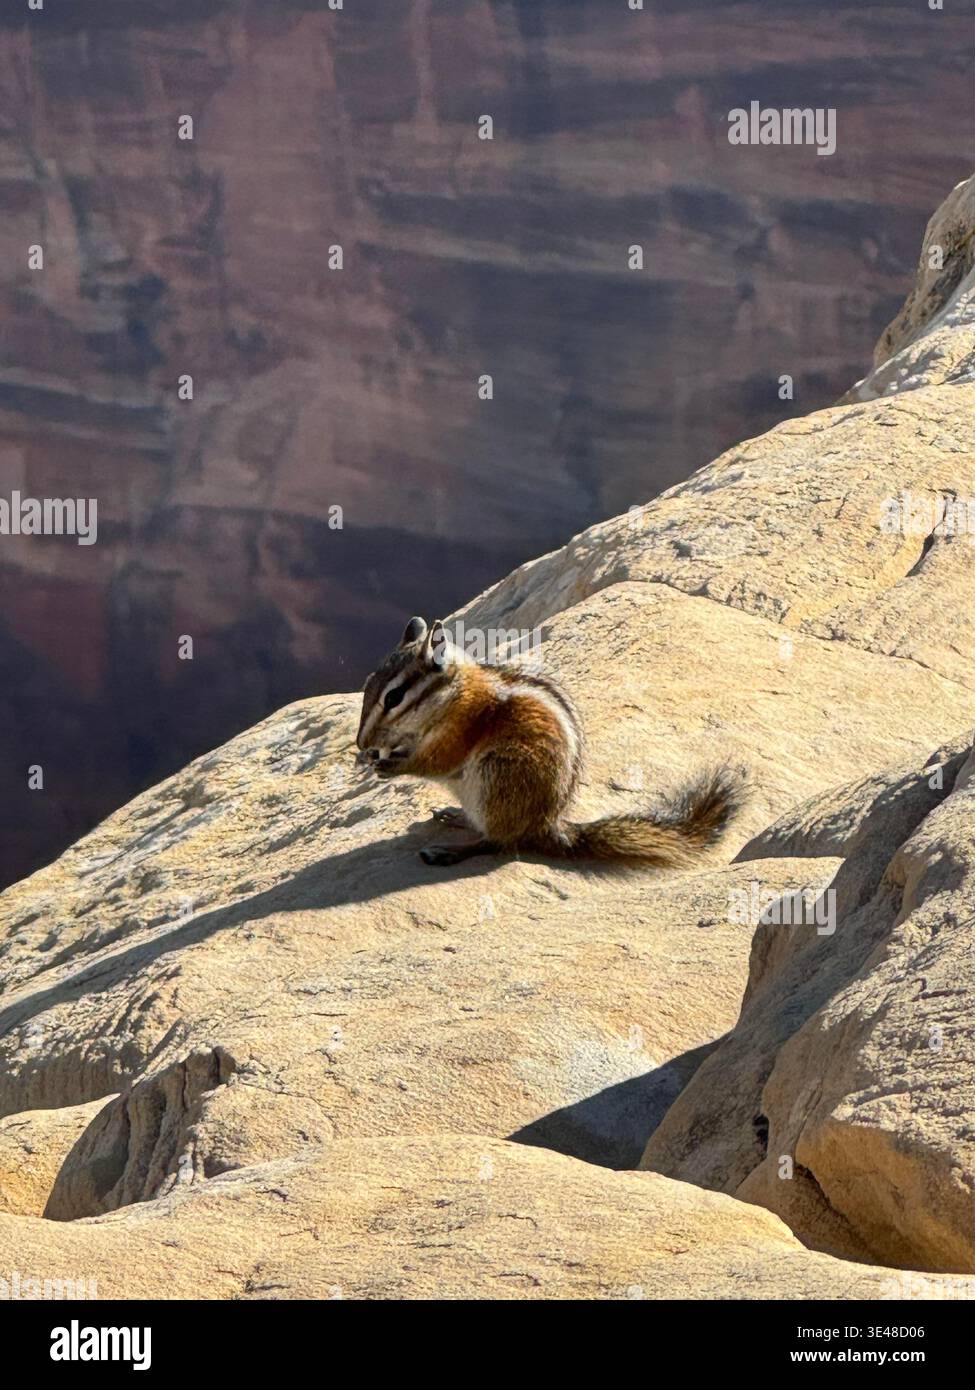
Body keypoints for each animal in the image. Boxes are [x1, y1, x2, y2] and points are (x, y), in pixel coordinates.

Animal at [356, 615, 746, 868]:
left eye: (394, 697)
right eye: (368, 683)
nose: (361, 744)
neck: (452, 695)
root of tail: (548, 826)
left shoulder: (460, 730)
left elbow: (436, 761)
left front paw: (391, 764)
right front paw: (373, 760)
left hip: (496, 780)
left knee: (500, 841)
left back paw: (449, 851)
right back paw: (455, 816)